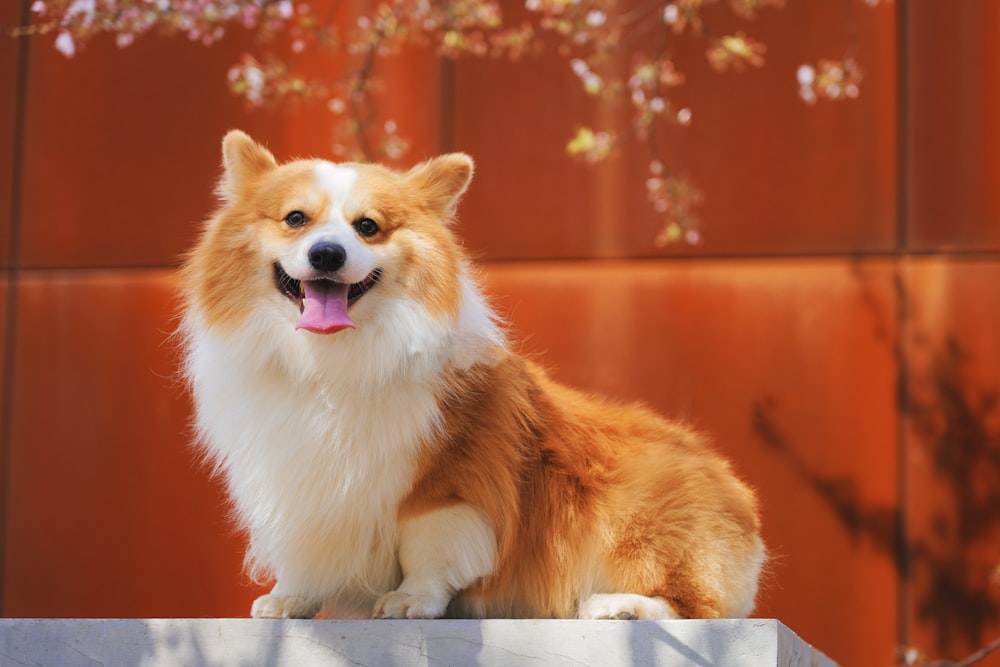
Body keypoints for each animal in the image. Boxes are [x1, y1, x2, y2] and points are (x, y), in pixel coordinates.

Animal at [178, 130, 764, 620]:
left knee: (694, 606)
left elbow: (427, 548)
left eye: (367, 226)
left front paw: (410, 601)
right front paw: (288, 600)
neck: (332, 362)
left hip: (635, 517)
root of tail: (743, 504)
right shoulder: (293, 484)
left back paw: (619, 606)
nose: (327, 254)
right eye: (296, 219)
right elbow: (303, 552)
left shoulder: (446, 481)